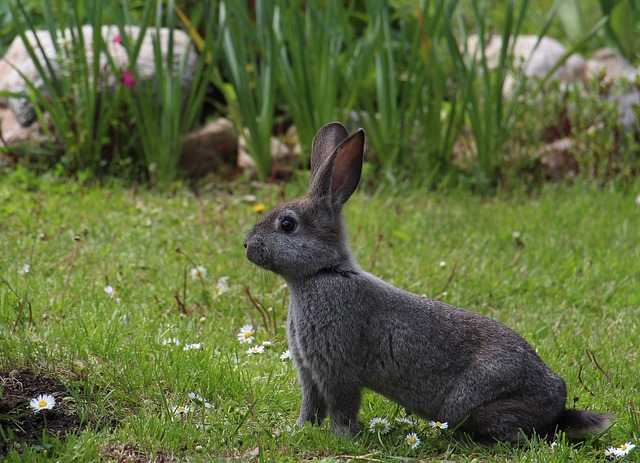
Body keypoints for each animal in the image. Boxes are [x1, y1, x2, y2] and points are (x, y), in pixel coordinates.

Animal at [243, 122, 610, 444]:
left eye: (287, 225)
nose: (246, 245)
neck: (323, 272)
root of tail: (556, 400)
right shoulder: (309, 372)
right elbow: (310, 406)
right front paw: (298, 431)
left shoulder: (337, 370)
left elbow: (342, 409)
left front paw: (340, 439)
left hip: (471, 404)